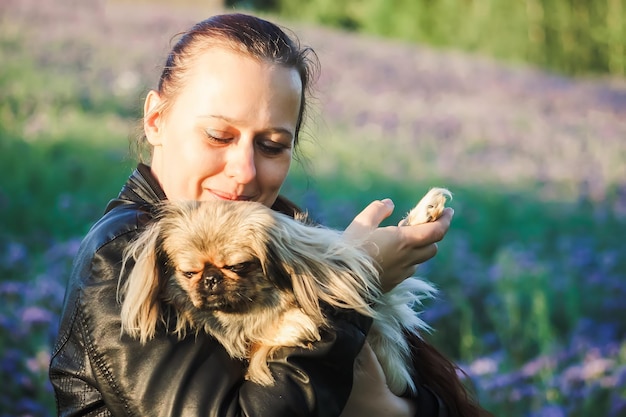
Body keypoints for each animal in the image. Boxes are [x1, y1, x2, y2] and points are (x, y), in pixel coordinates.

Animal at [118, 187, 448, 394]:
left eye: (238, 266)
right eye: (189, 273)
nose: (210, 279)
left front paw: (424, 213)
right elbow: (262, 341)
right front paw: (293, 324)